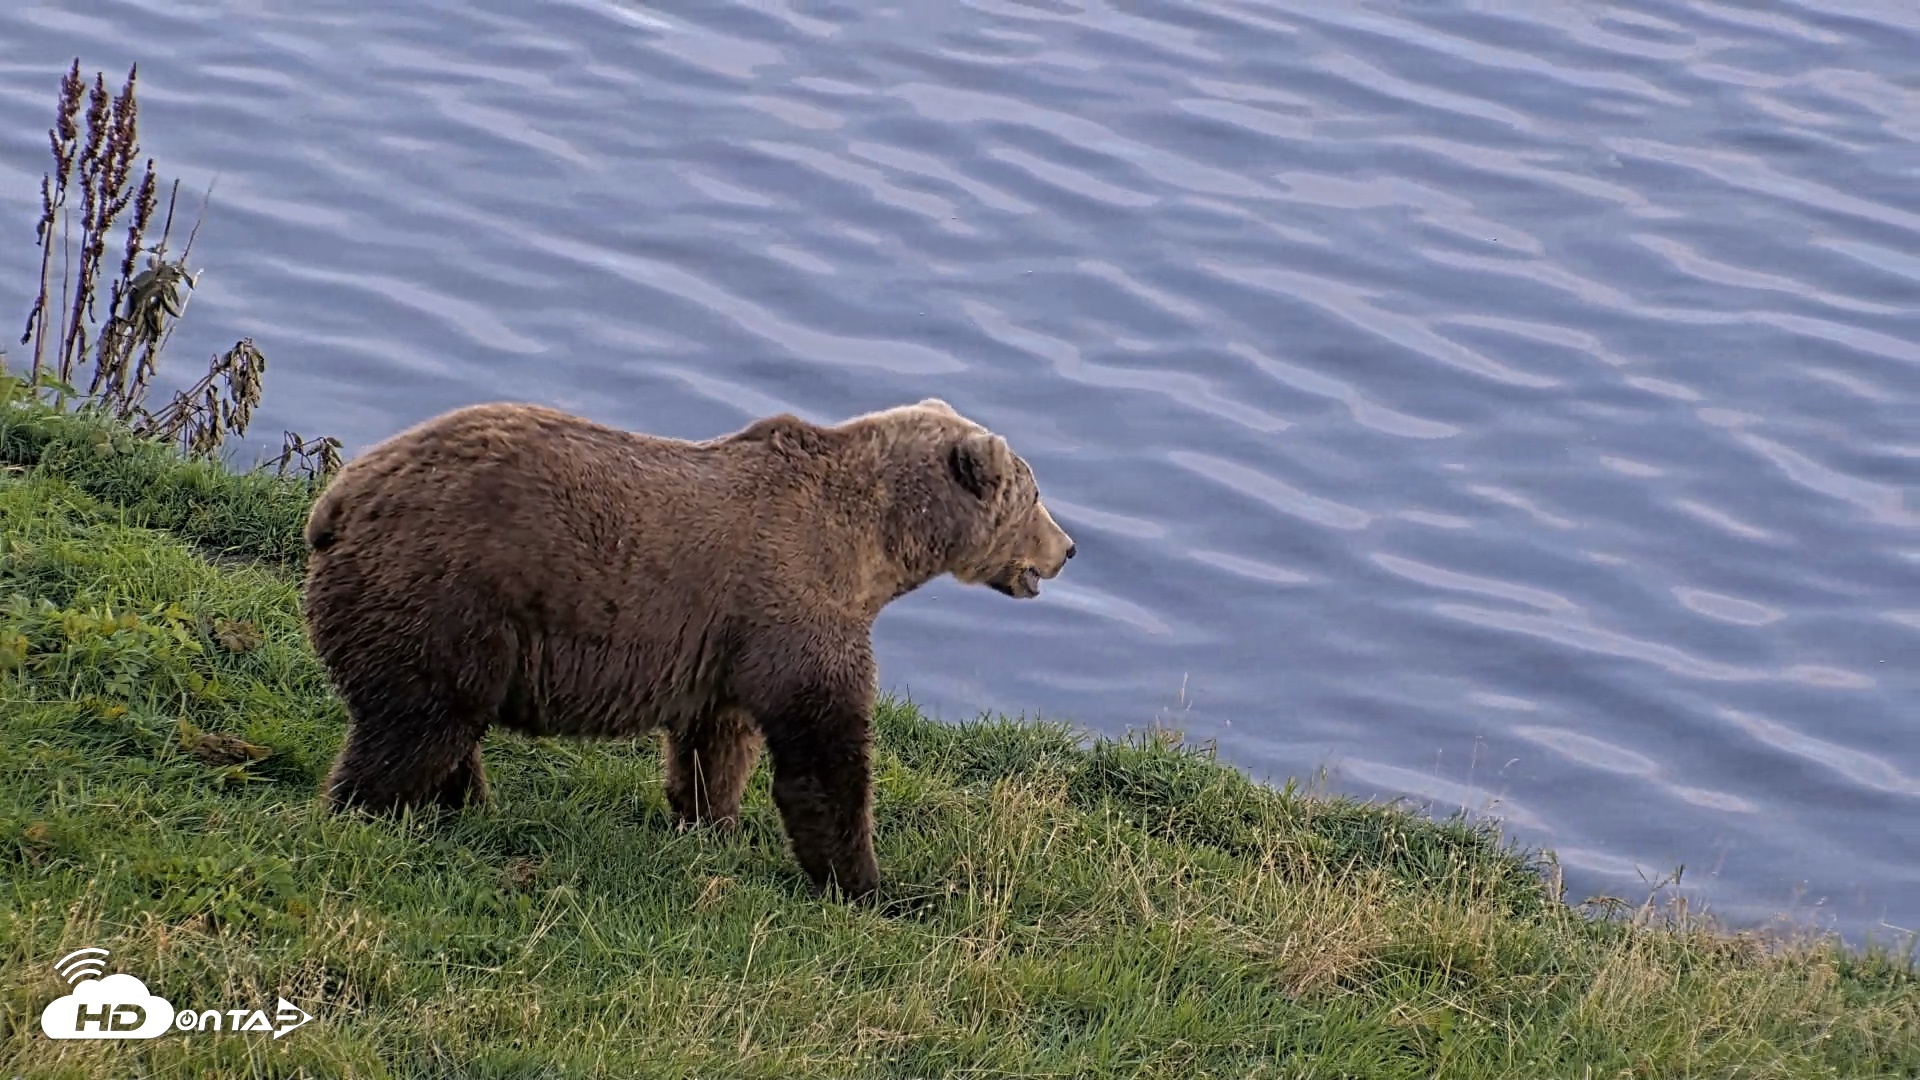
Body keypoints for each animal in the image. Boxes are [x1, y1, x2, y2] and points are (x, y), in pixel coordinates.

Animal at [299, 397, 1075, 901]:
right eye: (1035, 494)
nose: (1067, 548)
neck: (878, 548)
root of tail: (339, 497)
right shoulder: (794, 601)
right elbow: (825, 748)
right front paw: (869, 883)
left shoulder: (728, 643)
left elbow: (717, 743)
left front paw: (713, 823)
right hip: (446, 593)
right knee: (414, 727)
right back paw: (369, 813)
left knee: (446, 729)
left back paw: (463, 806)